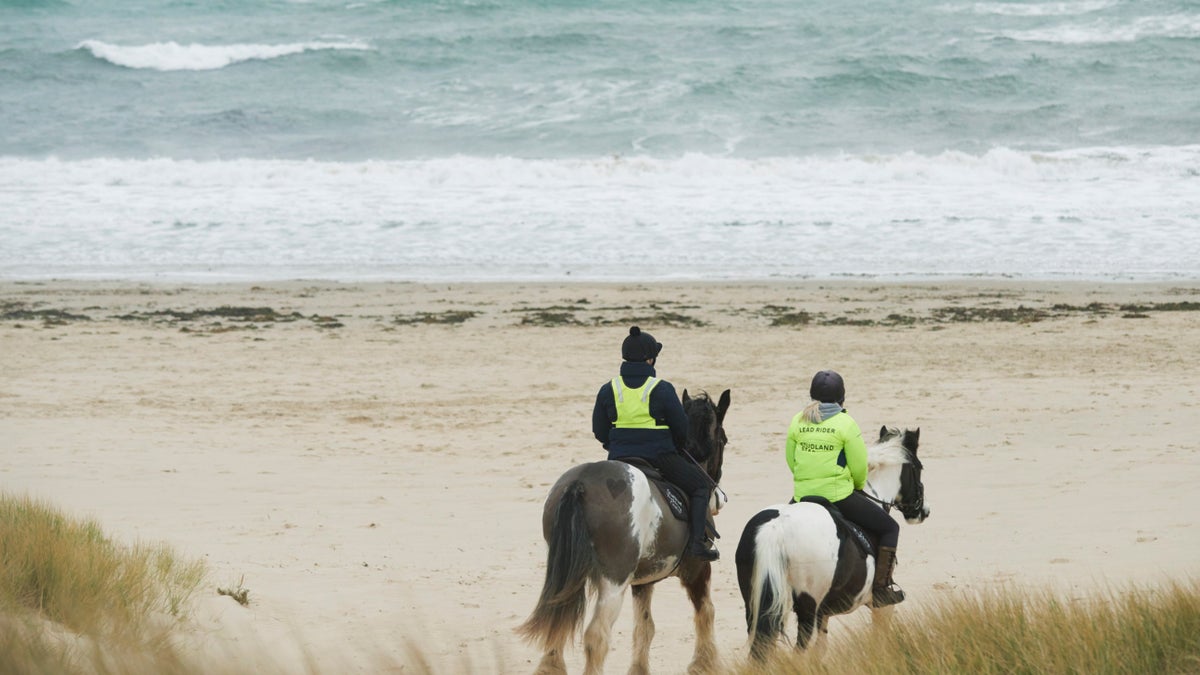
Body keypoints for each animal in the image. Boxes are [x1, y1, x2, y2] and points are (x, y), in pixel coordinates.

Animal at [518, 389, 731, 675]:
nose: (718, 499)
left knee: (557, 626)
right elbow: (706, 612)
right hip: (613, 580)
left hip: (568, 576)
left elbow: (645, 626)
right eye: (724, 440)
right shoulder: (697, 568)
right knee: (596, 636)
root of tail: (580, 484)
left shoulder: (643, 581)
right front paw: (704, 663)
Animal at [734, 426, 928, 660]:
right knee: (799, 652)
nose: (923, 511)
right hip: (807, 608)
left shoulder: (824, 613)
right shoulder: (879, 603)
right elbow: (880, 637)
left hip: (754, 604)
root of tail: (776, 528)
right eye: (919, 468)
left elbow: (821, 649)